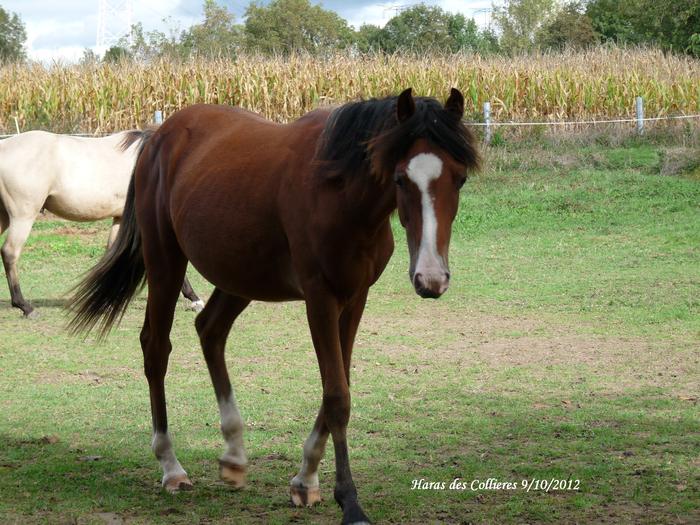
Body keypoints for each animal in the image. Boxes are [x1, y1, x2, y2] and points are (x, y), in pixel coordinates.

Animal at [69, 88, 476, 520]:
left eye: (460, 178)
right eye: (400, 178)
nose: (431, 278)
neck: (341, 191)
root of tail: (158, 137)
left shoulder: (355, 298)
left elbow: (339, 383)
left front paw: (306, 480)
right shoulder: (320, 298)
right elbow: (337, 396)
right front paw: (349, 501)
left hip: (239, 276)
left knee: (210, 330)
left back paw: (233, 456)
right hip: (165, 262)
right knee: (156, 348)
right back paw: (171, 465)